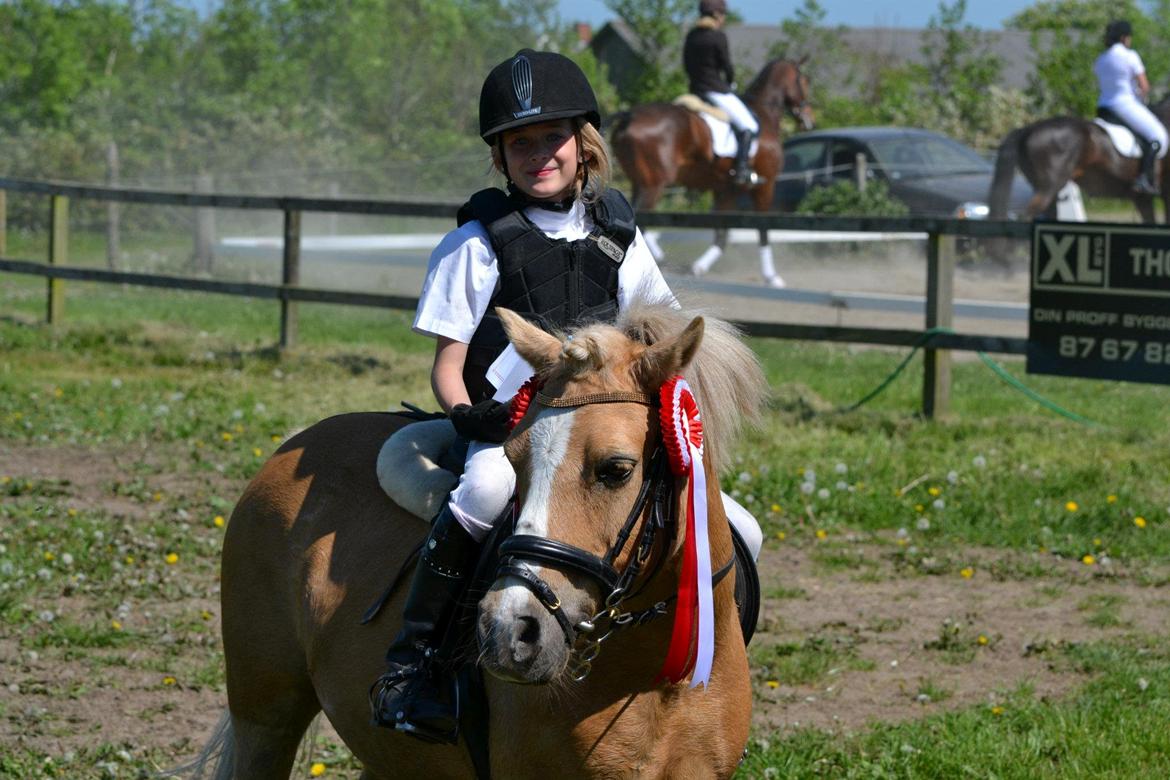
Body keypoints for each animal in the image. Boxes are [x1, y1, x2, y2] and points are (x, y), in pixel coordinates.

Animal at [191, 301, 767, 776]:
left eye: (616, 470)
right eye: (513, 458)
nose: (510, 631)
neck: (647, 680)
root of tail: (294, 447)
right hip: (266, 713)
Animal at [613, 57, 814, 288]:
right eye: (804, 81)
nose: (809, 120)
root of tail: (630, 115)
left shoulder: (726, 189)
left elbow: (721, 233)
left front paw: (699, 267)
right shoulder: (765, 186)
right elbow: (762, 229)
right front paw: (772, 276)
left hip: (640, 183)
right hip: (653, 185)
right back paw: (659, 260)